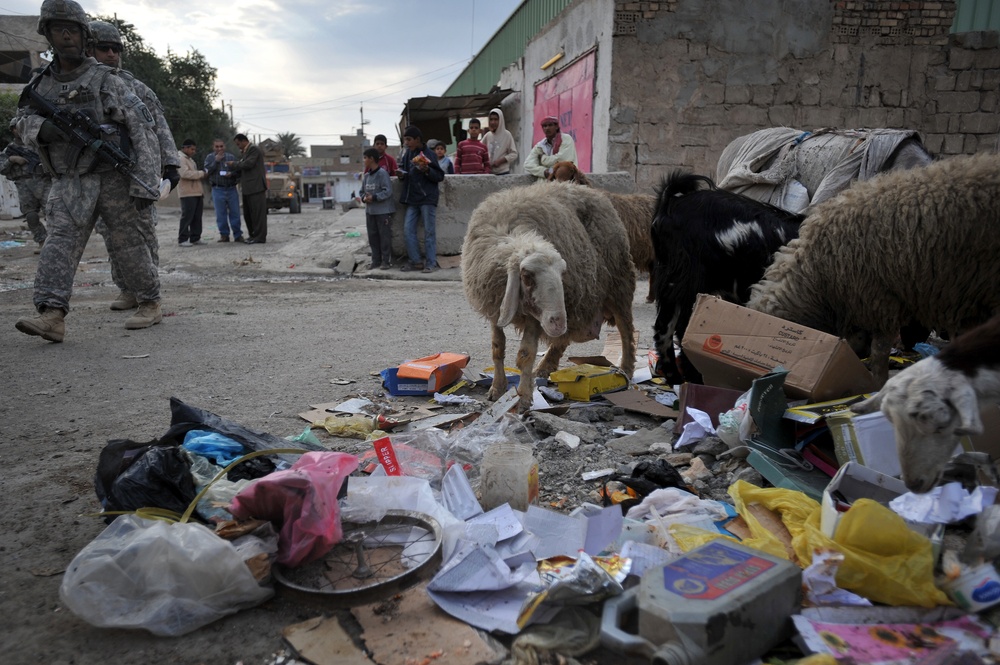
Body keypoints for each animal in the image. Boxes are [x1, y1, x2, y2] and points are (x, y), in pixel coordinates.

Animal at [462, 182, 636, 410]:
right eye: (526, 277)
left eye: (563, 274)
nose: (558, 322)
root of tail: (592, 191)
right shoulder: (495, 305)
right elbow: (497, 348)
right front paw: (497, 388)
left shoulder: (535, 318)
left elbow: (525, 355)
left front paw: (523, 398)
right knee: (563, 339)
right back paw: (545, 367)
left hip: (619, 283)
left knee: (626, 330)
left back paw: (626, 368)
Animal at [648, 171, 804, 384]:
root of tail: (670, 204)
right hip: (692, 280)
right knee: (683, 327)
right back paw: (694, 376)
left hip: (671, 279)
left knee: (664, 328)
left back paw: (676, 378)